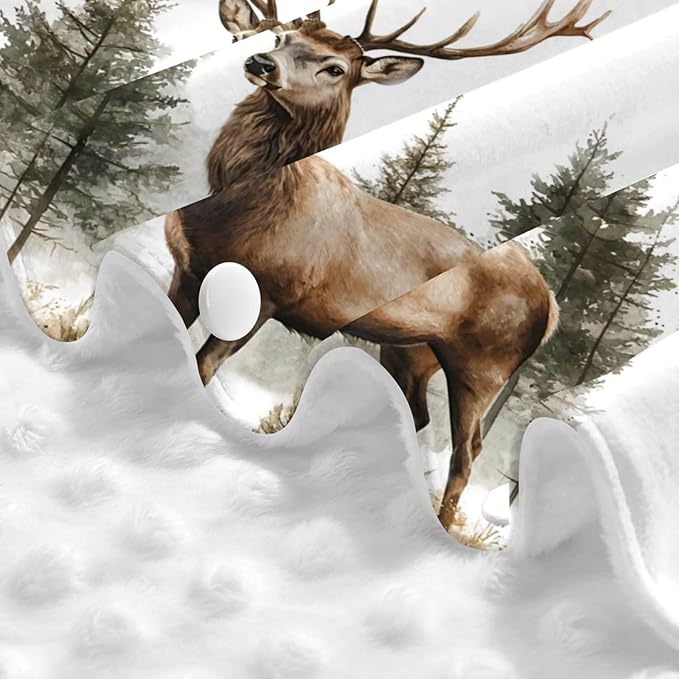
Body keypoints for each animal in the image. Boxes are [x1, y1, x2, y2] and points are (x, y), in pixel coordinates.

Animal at [165, 0, 608, 530]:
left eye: (335, 67)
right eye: (280, 39)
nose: (260, 63)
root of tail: (552, 308)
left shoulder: (269, 293)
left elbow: (202, 365)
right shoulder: (186, 269)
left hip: (483, 368)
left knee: (467, 450)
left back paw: (439, 525)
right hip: (410, 352)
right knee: (416, 416)